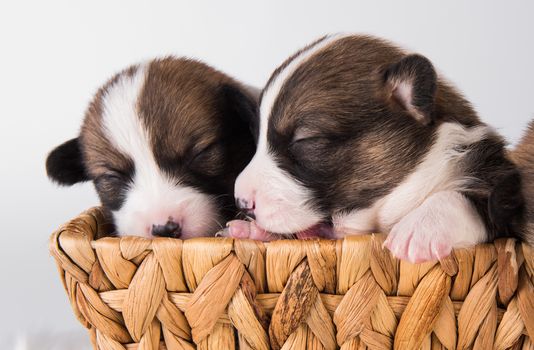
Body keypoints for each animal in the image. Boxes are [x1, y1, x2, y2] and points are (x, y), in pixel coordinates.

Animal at [228, 34, 524, 262]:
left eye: (304, 140)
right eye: (256, 138)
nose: (241, 202)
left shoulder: (500, 186)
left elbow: (461, 198)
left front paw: (420, 228)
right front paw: (252, 231)